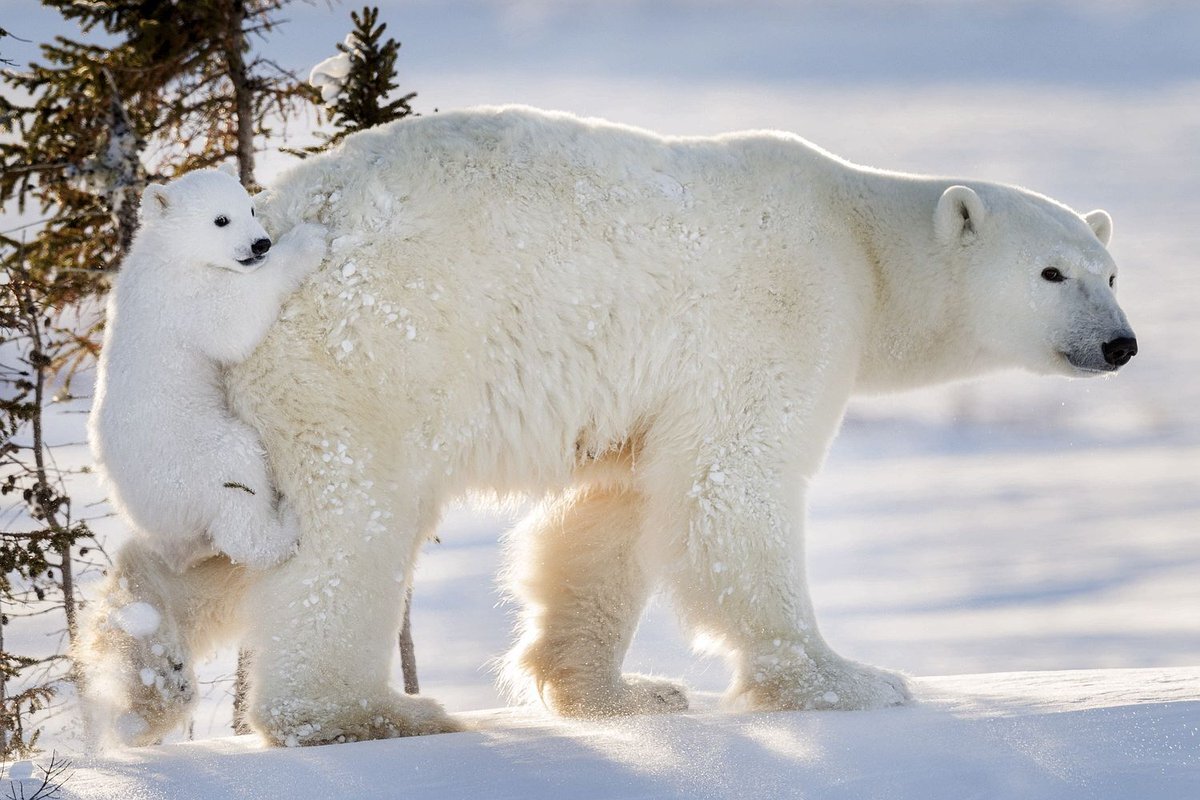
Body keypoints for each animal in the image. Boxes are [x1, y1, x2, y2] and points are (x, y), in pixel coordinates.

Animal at [87, 169, 328, 573]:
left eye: (250, 208)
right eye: (221, 220)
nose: (261, 243)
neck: (168, 254)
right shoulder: (183, 299)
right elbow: (232, 323)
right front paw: (308, 239)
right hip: (194, 459)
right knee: (237, 479)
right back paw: (286, 523)